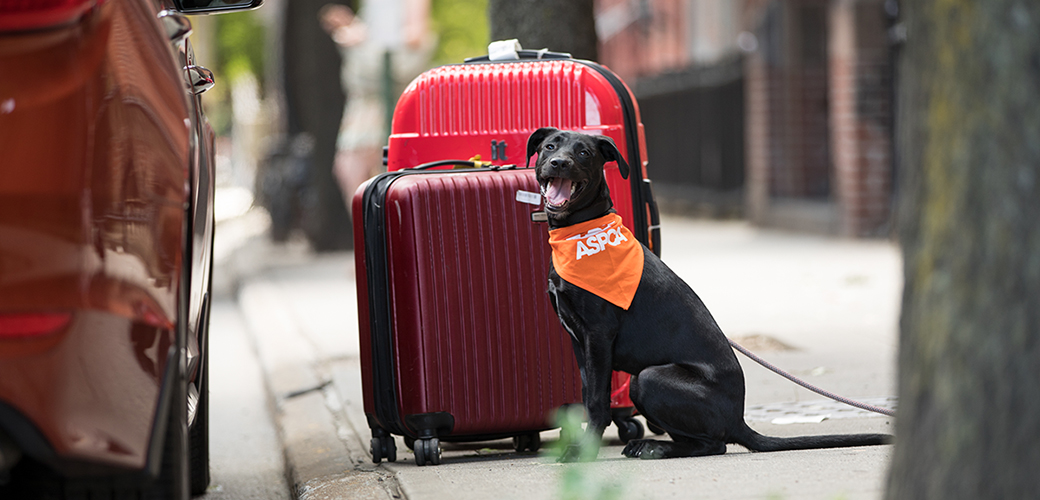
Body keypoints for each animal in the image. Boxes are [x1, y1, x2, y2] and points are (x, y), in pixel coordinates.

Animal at [528, 127, 894, 459]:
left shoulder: (598, 335)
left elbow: (596, 401)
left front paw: (582, 451)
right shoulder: (580, 341)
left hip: (647, 378)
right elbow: (587, 392)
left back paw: (655, 448)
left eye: (584, 153)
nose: (559, 163)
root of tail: (738, 421)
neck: (579, 232)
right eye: (550, 147)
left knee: (714, 444)